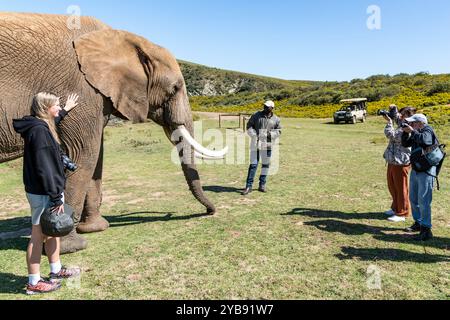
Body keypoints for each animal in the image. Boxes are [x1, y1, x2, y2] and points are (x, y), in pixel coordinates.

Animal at [0, 11, 227, 252]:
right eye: (174, 89)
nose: (210, 211)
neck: (123, 39)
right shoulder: (81, 88)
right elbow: (83, 155)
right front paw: (71, 246)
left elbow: (96, 159)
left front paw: (96, 228)